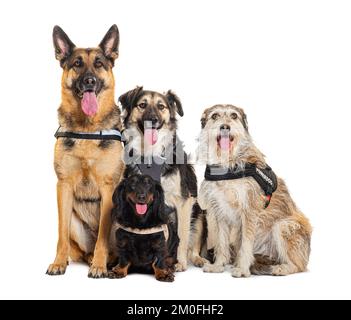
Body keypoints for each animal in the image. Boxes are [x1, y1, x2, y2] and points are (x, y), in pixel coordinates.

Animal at [46, 25, 124, 278]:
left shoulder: (108, 188)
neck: (87, 129)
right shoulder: (63, 186)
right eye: (77, 64)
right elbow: (60, 234)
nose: (89, 81)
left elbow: (102, 237)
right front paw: (59, 262)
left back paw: (105, 262)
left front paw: (99, 266)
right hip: (75, 221)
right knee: (80, 250)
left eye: (99, 63)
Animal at [119, 87, 201, 270]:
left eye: (161, 106)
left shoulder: (184, 202)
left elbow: (182, 235)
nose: (153, 120)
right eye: (142, 105)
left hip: (200, 213)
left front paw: (180, 263)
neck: (151, 155)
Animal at [197, 104, 312, 276]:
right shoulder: (220, 211)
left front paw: (243, 269)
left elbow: (246, 244)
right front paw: (218, 265)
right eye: (215, 116)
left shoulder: (249, 211)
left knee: (299, 266)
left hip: (284, 226)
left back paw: (281, 268)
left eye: (234, 116)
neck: (228, 163)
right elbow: (222, 242)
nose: (225, 127)